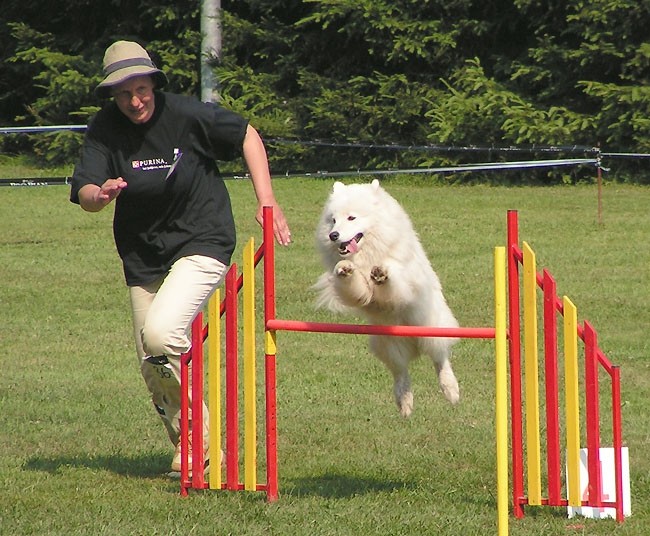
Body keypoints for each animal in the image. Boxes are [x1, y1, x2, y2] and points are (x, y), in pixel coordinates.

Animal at [312, 181, 456, 418]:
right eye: (333, 220)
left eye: (351, 218)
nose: (333, 235)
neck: (368, 252)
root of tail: (413, 344)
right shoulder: (356, 290)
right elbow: (355, 285)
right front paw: (345, 269)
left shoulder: (402, 281)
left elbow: (392, 280)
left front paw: (380, 273)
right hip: (388, 346)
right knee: (401, 373)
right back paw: (405, 402)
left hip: (431, 328)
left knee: (440, 358)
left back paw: (451, 389)